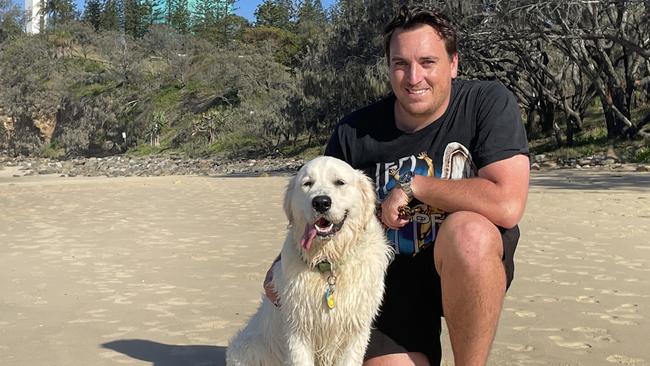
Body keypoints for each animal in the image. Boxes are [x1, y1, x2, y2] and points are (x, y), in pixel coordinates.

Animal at [227, 156, 390, 364]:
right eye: (307, 183)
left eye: (339, 182)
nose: (321, 202)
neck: (328, 261)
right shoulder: (298, 329)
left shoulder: (356, 330)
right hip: (247, 348)